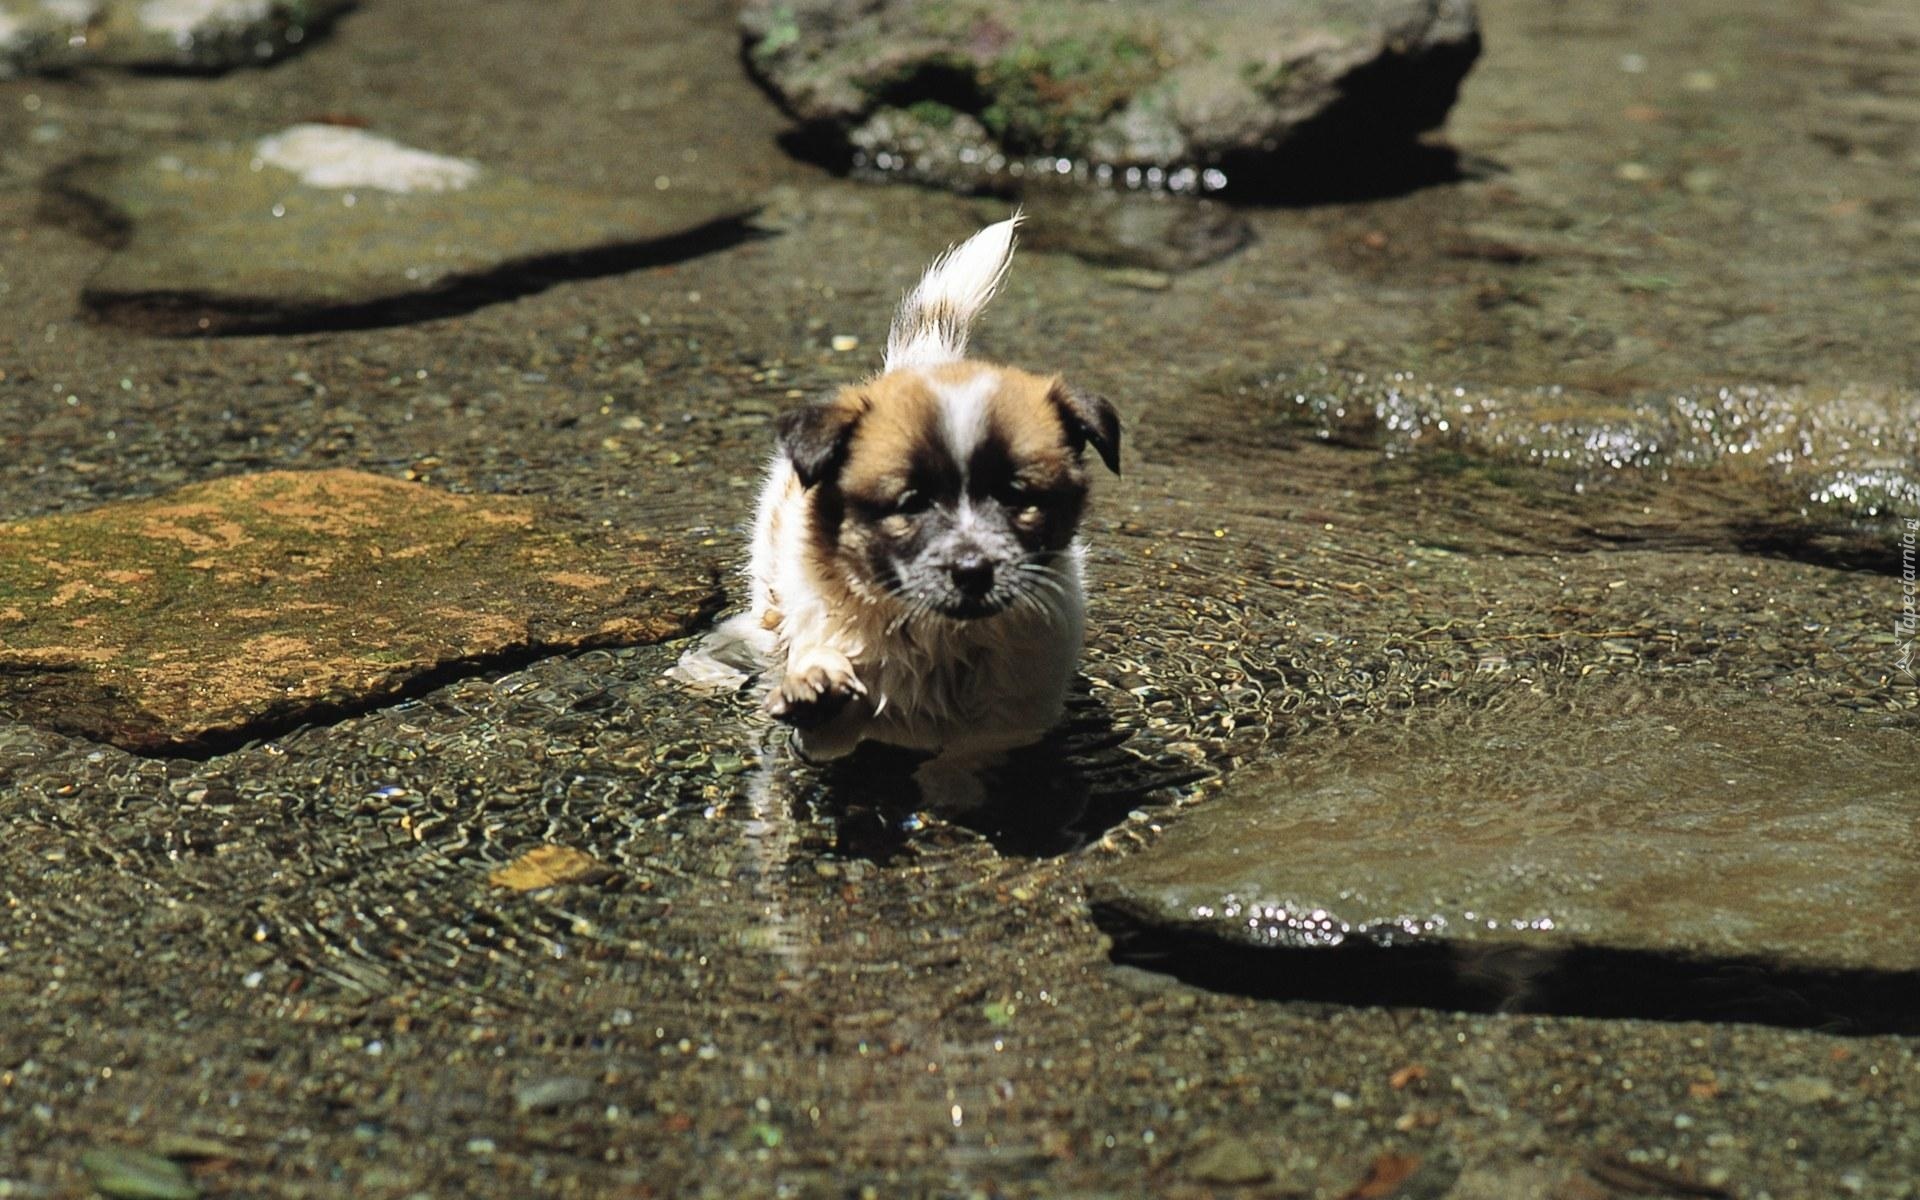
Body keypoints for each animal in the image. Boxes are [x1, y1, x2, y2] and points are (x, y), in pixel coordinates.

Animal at [695, 213, 1121, 775]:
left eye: (1015, 498)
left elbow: (963, 762)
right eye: (910, 503)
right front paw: (816, 688)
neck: (938, 637)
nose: (972, 570)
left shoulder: (1007, 724)